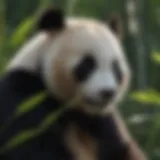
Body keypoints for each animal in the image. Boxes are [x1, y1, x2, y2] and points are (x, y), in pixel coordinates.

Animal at [0, 6, 148, 159]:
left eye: (115, 68)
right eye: (87, 64)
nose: (107, 92)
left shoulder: (105, 121)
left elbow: (122, 149)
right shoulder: (24, 96)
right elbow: (32, 145)